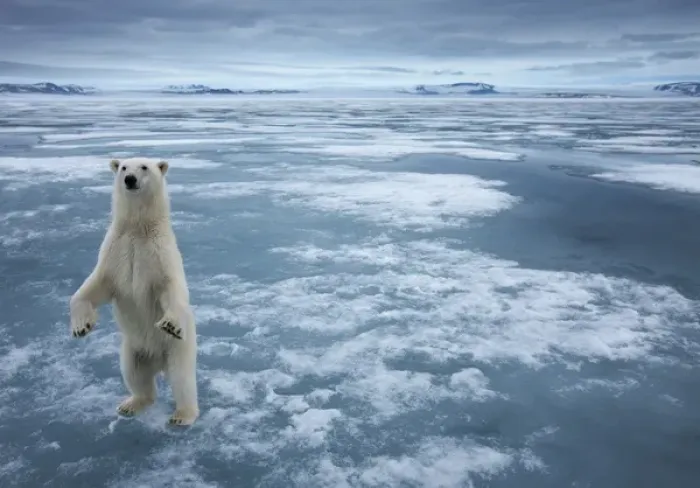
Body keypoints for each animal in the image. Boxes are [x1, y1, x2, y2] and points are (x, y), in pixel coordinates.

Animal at [69, 157, 199, 426]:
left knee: (182, 378)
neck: (138, 228)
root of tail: (158, 363)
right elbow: (94, 287)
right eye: (123, 167)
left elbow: (170, 289)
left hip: (178, 349)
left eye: (144, 167)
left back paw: (182, 415)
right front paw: (81, 327)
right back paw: (131, 404)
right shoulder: (115, 251)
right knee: (134, 374)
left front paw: (170, 324)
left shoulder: (160, 254)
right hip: (133, 348)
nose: (130, 179)